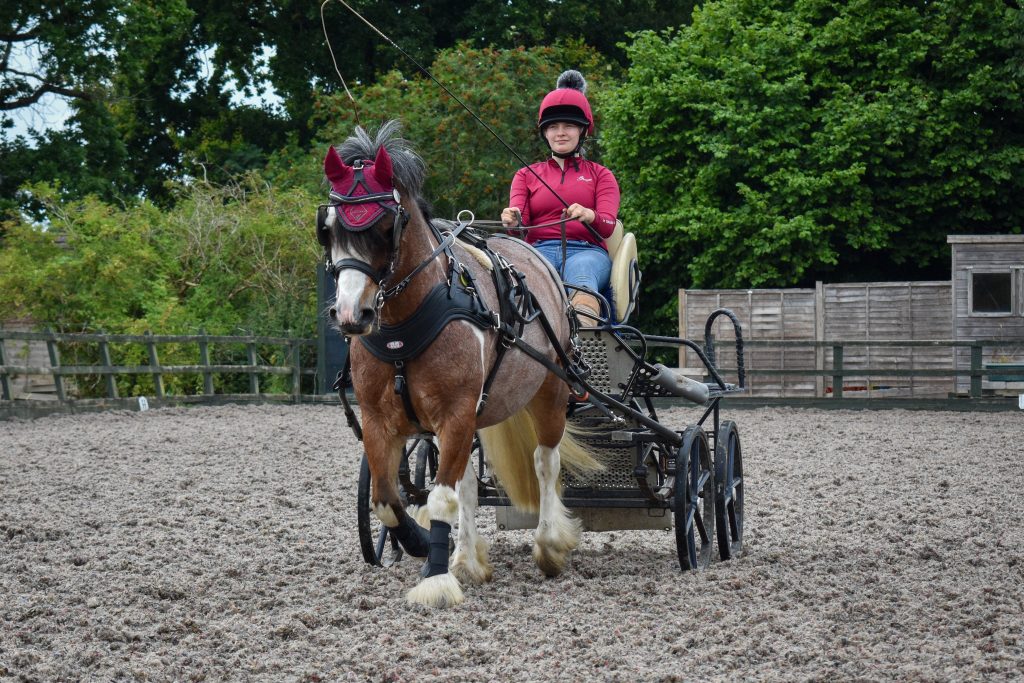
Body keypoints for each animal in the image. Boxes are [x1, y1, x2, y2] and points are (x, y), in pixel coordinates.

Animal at [317, 118, 598, 610]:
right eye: (327, 227)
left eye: (386, 226)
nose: (352, 315)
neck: (405, 324)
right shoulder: (380, 420)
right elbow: (387, 498)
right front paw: (418, 542)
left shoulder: (454, 413)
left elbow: (442, 499)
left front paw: (434, 577)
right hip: (478, 415)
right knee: (467, 481)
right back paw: (466, 557)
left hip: (549, 391)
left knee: (545, 462)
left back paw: (548, 545)